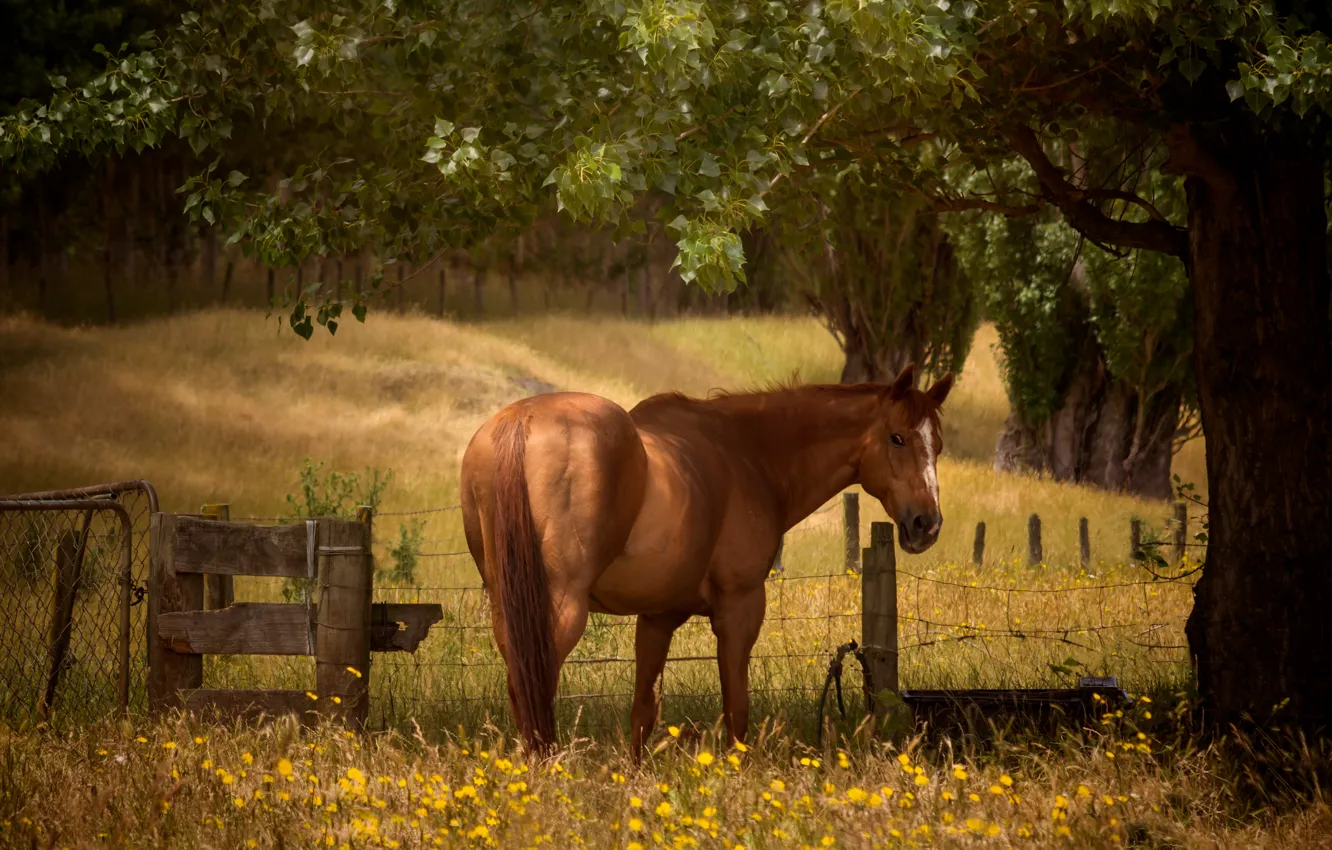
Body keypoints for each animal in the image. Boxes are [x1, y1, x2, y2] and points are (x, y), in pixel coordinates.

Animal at [460, 363, 952, 756]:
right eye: (897, 438)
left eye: (939, 446)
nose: (926, 524)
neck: (748, 454)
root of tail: (521, 420)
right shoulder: (740, 608)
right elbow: (736, 710)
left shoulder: (657, 618)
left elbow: (644, 712)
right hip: (559, 613)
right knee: (534, 688)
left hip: (508, 611)